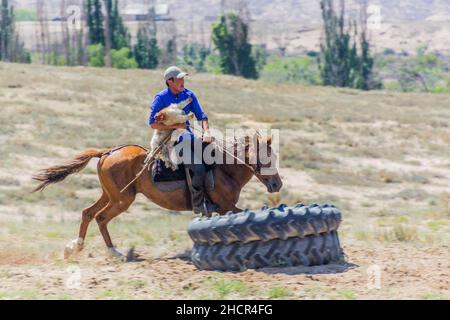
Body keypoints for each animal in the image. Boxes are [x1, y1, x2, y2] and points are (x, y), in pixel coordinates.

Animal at [32, 133, 282, 260]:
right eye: (267, 158)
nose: (277, 184)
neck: (223, 167)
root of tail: (108, 152)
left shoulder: (217, 210)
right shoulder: (226, 206)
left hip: (110, 195)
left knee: (87, 213)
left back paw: (74, 248)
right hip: (122, 200)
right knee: (101, 218)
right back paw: (114, 252)